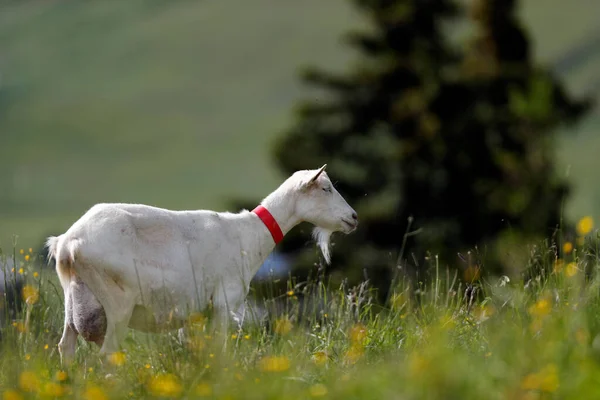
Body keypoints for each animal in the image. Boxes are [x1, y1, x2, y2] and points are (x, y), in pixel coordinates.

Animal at [48, 164, 356, 364]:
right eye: (326, 188)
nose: (353, 217)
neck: (248, 234)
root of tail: (68, 244)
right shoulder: (225, 302)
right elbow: (220, 349)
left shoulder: (195, 314)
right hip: (117, 301)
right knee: (107, 355)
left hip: (74, 299)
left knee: (66, 347)